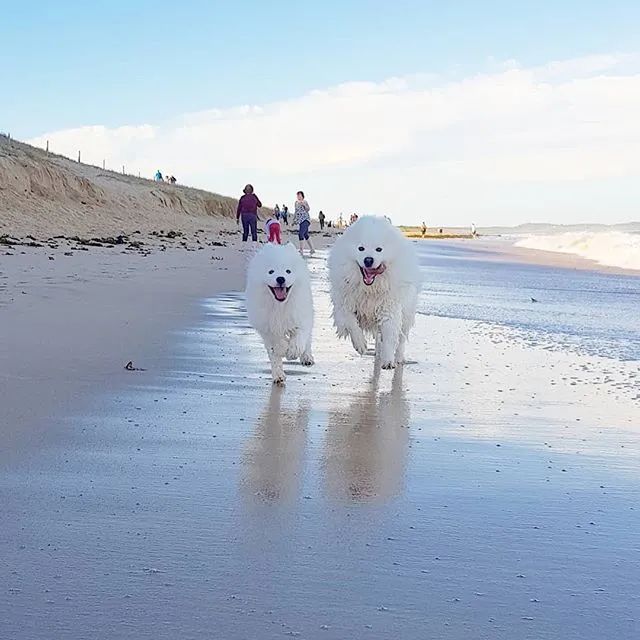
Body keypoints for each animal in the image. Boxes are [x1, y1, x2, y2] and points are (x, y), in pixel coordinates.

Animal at [245, 244, 316, 384]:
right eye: (271, 272)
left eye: (288, 271)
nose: (281, 278)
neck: (280, 306)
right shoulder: (267, 327)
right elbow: (276, 346)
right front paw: (284, 350)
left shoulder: (300, 317)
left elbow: (300, 338)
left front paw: (292, 352)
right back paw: (278, 376)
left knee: (308, 339)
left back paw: (307, 357)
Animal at [330, 215, 420, 368]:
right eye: (361, 248)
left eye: (379, 249)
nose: (368, 260)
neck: (369, 289)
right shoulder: (343, 305)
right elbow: (351, 323)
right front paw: (360, 345)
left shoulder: (389, 309)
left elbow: (390, 336)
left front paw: (388, 360)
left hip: (407, 315)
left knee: (401, 339)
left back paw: (398, 358)